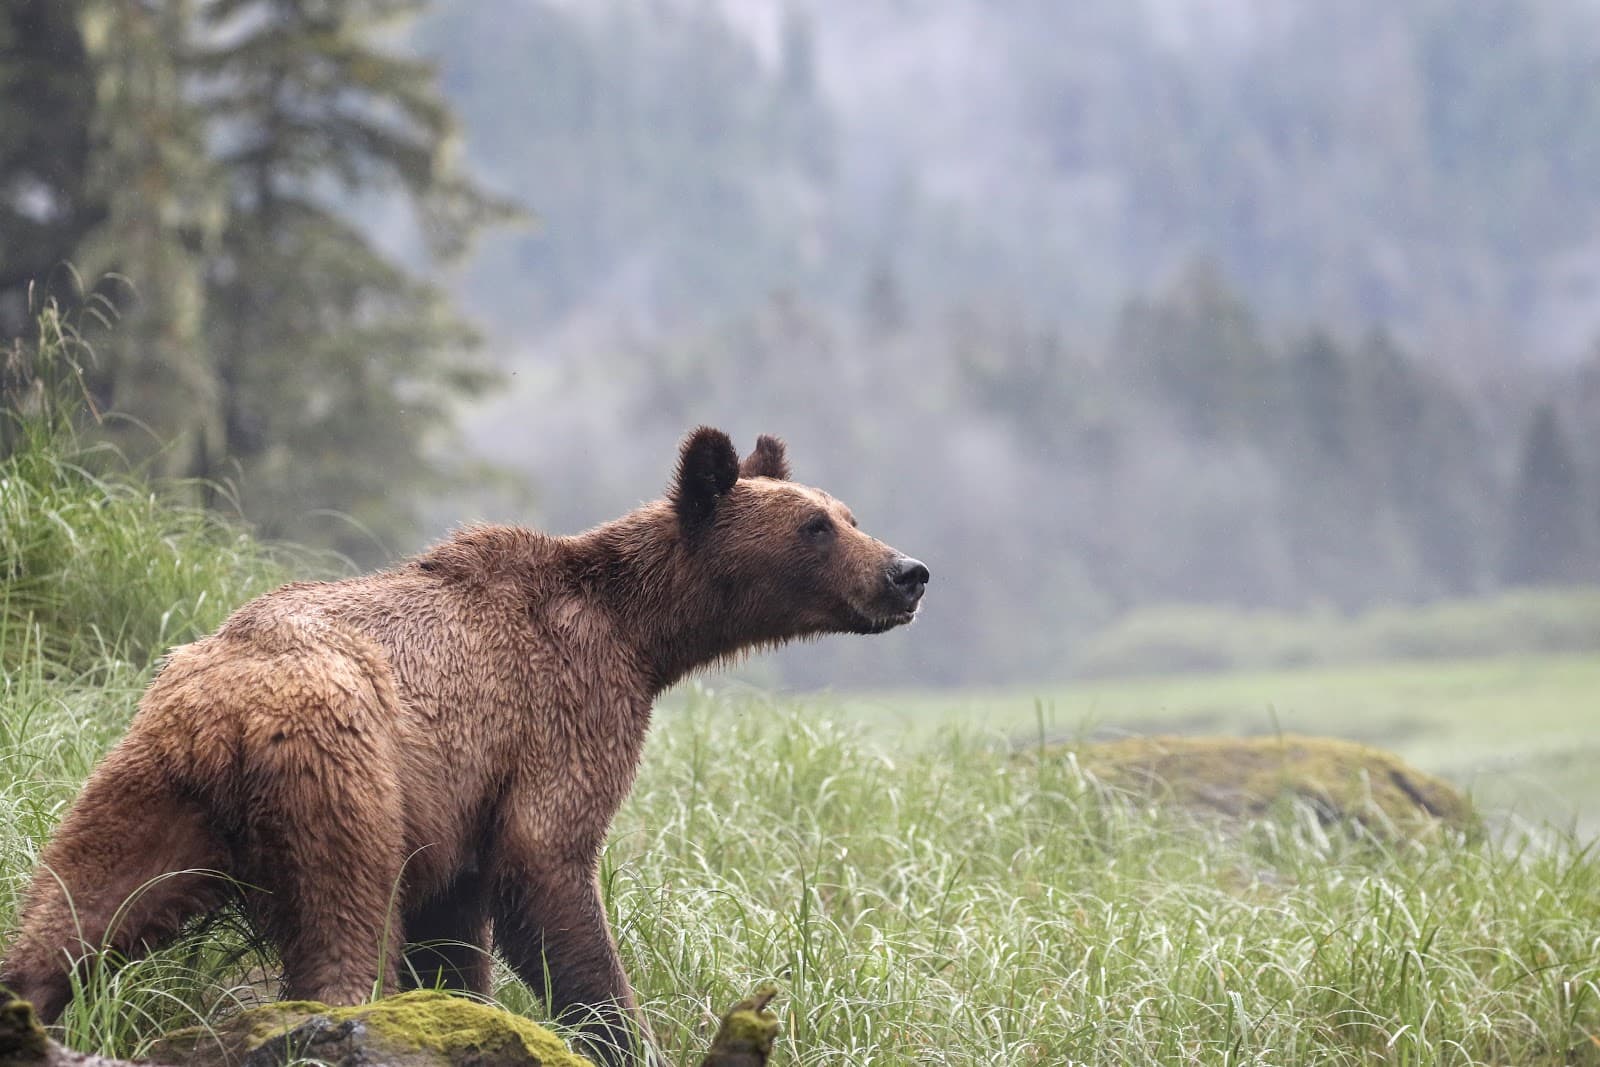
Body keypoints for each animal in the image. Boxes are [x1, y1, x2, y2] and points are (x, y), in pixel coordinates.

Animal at [0, 427, 928, 1067]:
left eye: (848, 513)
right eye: (815, 526)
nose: (908, 571)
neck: (642, 637)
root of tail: (222, 715)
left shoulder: (458, 802)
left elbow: (455, 931)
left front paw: (469, 1017)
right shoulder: (560, 714)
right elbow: (548, 869)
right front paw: (615, 1027)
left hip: (144, 787)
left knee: (72, 909)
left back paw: (29, 1009)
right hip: (345, 780)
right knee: (346, 927)